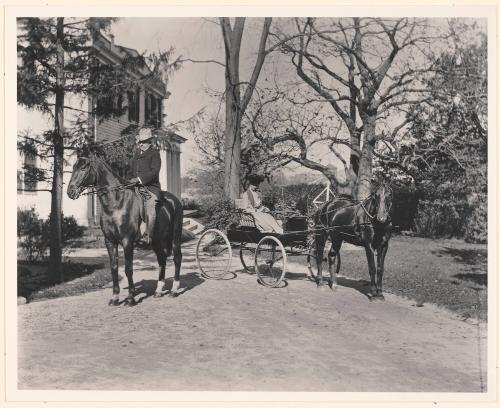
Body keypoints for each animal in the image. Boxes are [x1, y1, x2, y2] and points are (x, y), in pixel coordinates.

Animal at [67, 148, 184, 304]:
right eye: (74, 167)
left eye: (84, 167)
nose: (70, 191)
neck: (116, 203)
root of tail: (174, 200)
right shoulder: (110, 241)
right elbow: (114, 267)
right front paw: (115, 297)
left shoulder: (127, 240)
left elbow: (128, 268)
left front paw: (130, 298)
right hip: (156, 240)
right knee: (162, 259)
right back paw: (158, 291)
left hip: (175, 236)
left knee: (177, 258)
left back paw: (175, 289)